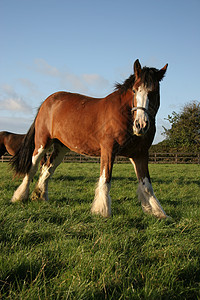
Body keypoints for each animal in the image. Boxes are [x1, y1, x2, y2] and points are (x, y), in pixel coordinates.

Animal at [10, 59, 168, 218]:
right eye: (134, 90)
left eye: (154, 91)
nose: (141, 125)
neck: (124, 115)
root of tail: (47, 102)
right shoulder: (108, 150)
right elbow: (105, 179)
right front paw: (102, 211)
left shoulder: (140, 154)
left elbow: (147, 186)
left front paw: (158, 213)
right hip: (42, 143)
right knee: (33, 167)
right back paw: (20, 196)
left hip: (61, 148)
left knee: (47, 168)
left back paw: (40, 196)